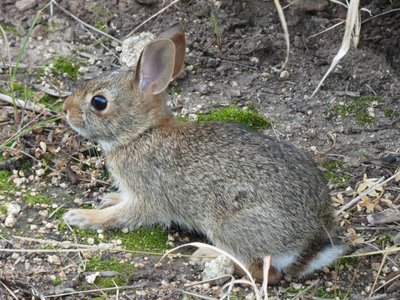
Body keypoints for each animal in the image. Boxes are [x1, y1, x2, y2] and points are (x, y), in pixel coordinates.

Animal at [62, 22, 344, 282]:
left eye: (99, 102)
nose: (65, 108)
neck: (141, 133)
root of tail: (310, 243)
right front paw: (108, 198)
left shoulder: (147, 196)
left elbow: (121, 216)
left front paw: (81, 216)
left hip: (226, 220)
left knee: (262, 271)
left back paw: (207, 255)